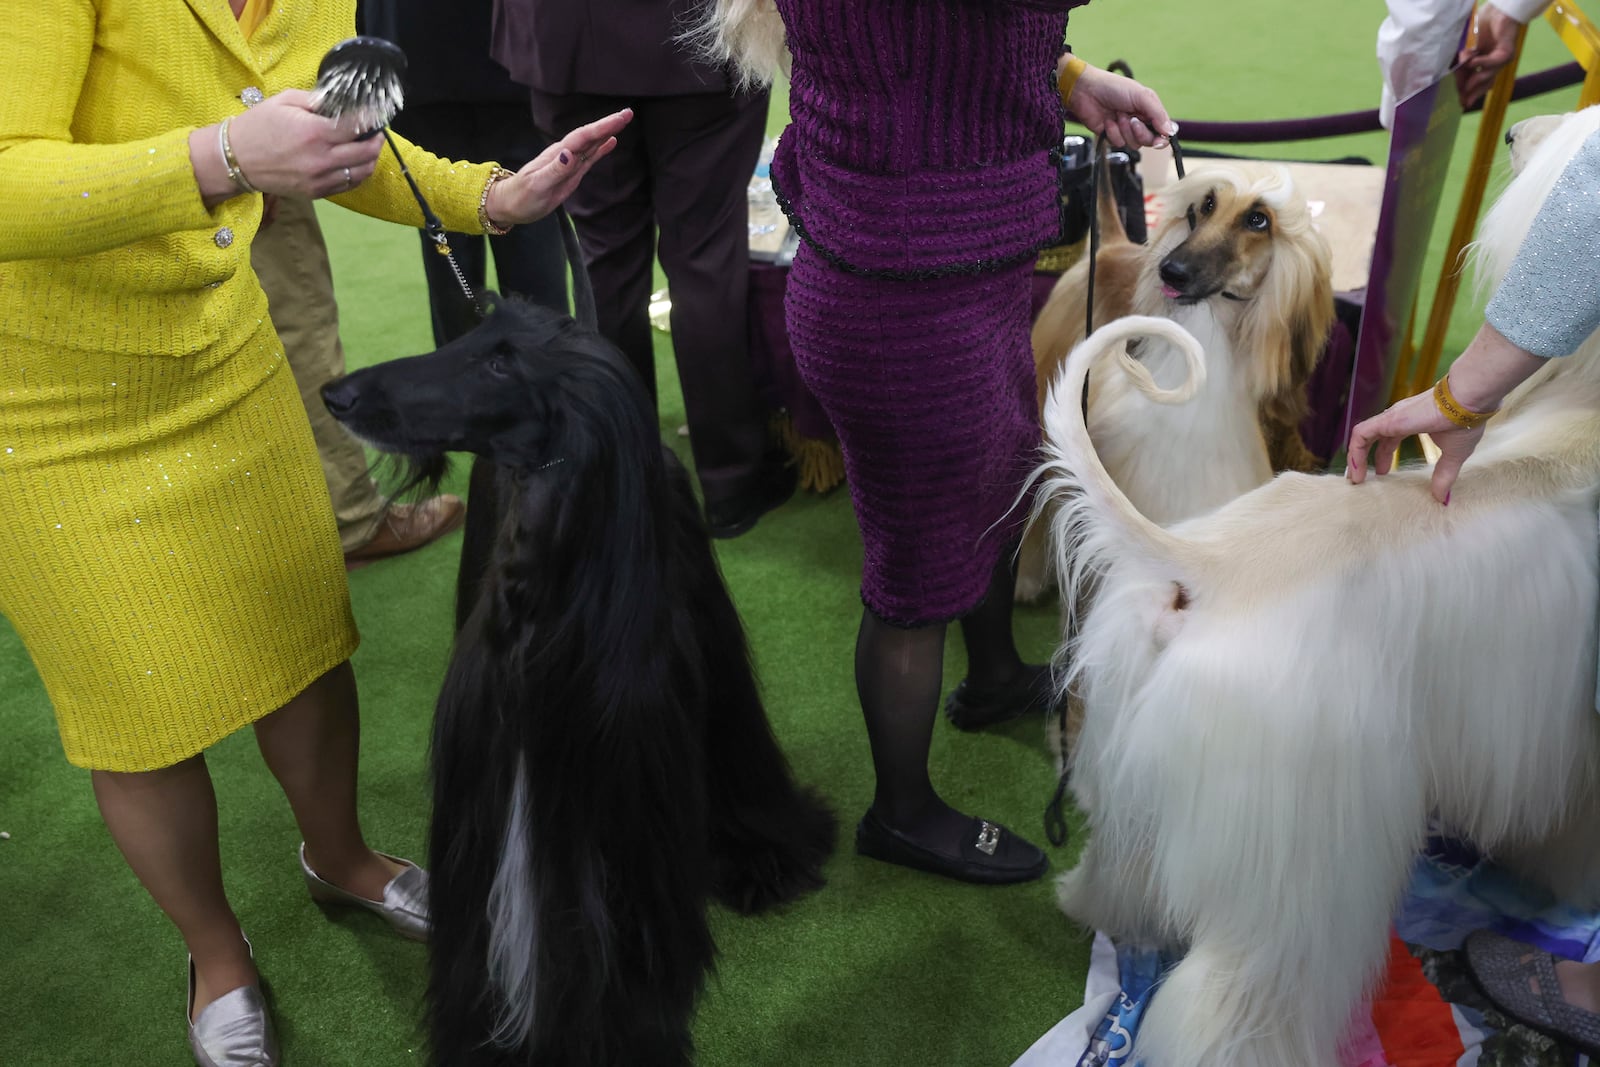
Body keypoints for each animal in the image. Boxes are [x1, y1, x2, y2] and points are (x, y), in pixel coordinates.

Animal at [315, 292, 838, 1067]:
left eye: (502, 365)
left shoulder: (616, 776)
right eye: (472, 336)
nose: (336, 395)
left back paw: (765, 852)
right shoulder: (492, 769)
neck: (549, 593)